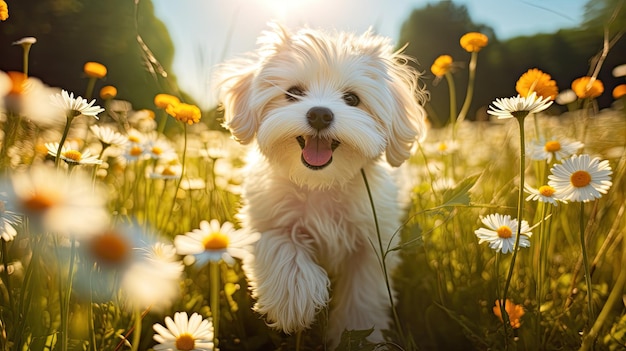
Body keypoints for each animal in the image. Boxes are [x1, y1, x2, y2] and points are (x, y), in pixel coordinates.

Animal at [213, 24, 424, 346]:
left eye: (352, 99)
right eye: (294, 93)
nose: (320, 114)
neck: (320, 184)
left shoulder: (373, 244)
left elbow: (362, 298)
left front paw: (359, 337)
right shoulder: (264, 217)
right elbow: (280, 246)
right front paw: (294, 300)